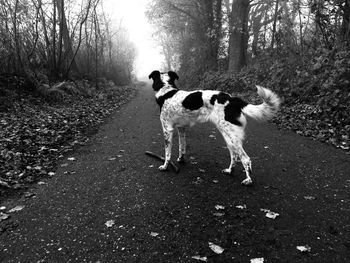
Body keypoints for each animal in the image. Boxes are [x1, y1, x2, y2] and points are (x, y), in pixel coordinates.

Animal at [149, 70, 280, 186]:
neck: (166, 91)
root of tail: (231, 99)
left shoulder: (167, 129)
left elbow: (167, 153)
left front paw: (165, 166)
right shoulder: (181, 128)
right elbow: (182, 147)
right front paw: (181, 159)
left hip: (231, 135)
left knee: (245, 158)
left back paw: (248, 180)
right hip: (228, 135)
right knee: (234, 155)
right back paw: (230, 171)